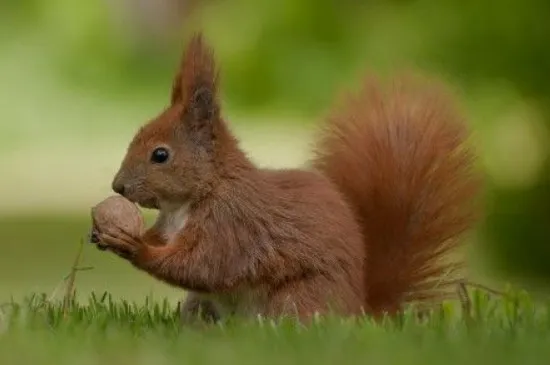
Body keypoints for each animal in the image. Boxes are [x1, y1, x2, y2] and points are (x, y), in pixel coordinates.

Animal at [96, 31, 484, 322]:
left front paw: (136, 247)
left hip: (297, 299)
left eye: (160, 155)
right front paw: (109, 233)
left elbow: (203, 265)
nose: (118, 186)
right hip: (202, 306)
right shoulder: (173, 225)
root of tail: (359, 311)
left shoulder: (233, 226)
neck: (192, 199)